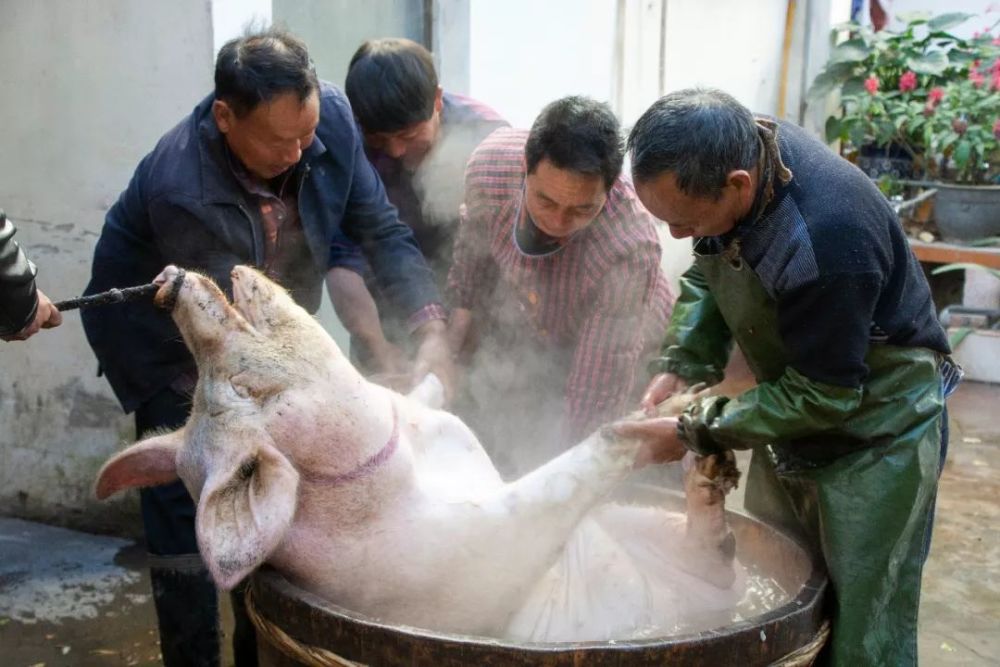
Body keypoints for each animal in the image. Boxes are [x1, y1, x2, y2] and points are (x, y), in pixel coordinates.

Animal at [97, 264, 744, 640]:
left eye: (226, 388)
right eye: (248, 388)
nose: (172, 285)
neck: (405, 460)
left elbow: (427, 389)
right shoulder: (475, 556)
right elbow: (568, 474)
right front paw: (671, 414)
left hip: (638, 522)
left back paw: (712, 474)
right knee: (712, 561)